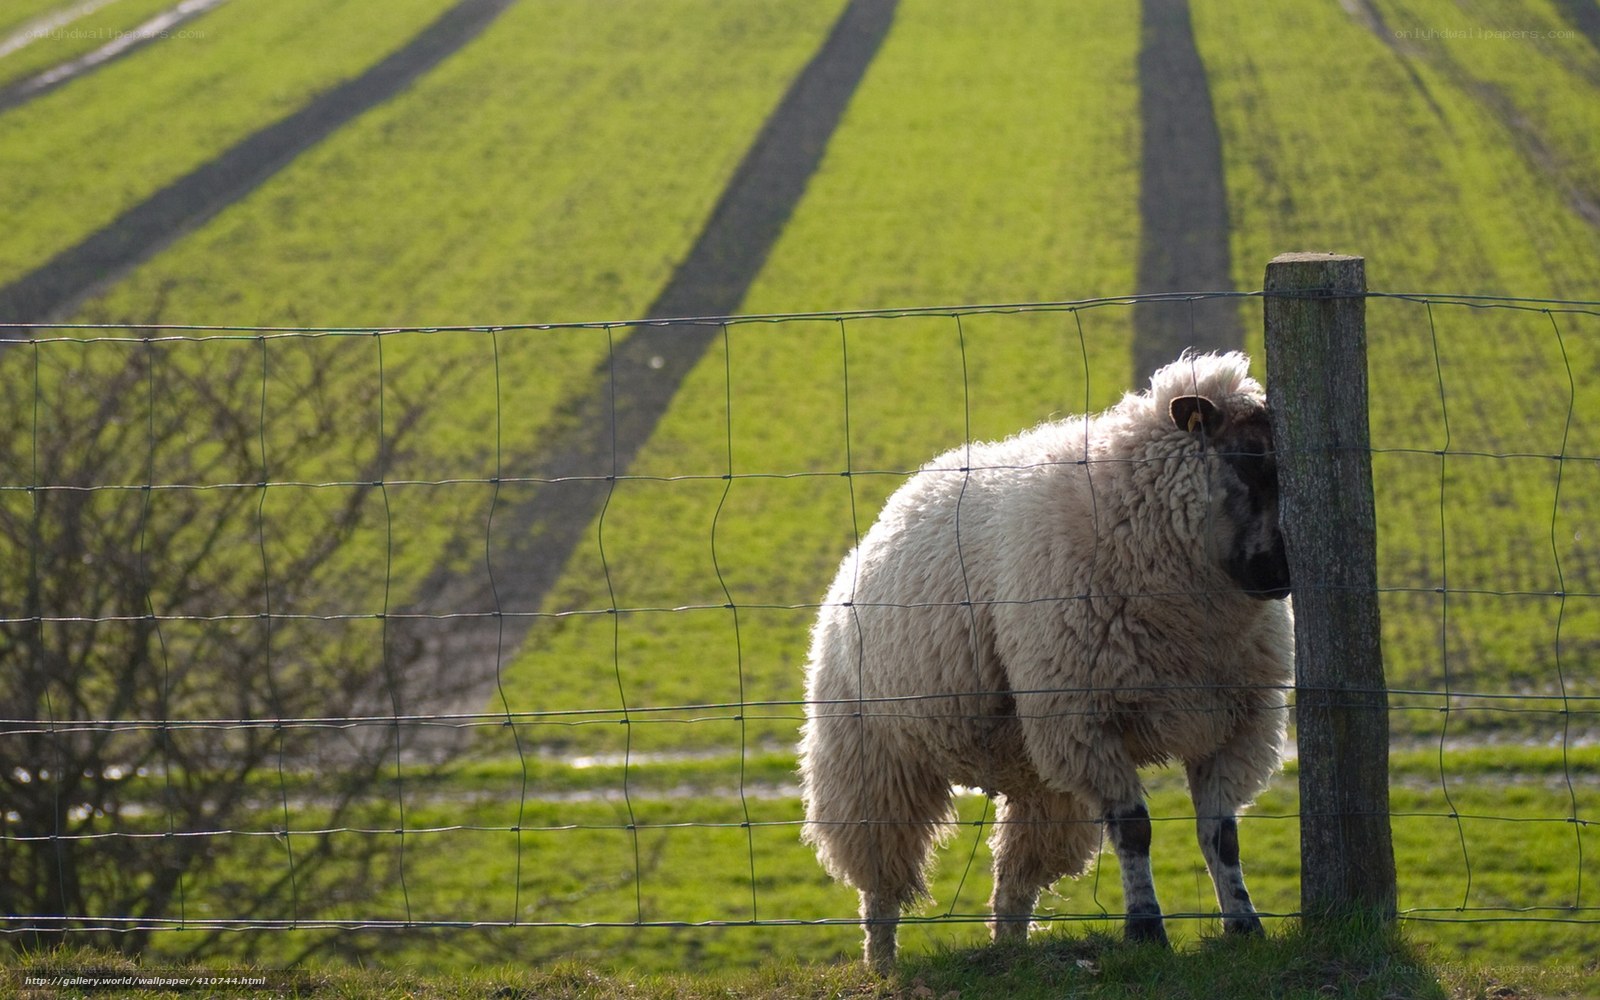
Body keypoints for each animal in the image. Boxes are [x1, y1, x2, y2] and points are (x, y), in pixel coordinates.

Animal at [798, 351, 1293, 972]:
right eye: (1247, 459)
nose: (1283, 574)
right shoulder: (1087, 720)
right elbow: (1134, 831)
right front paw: (1145, 931)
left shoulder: (1236, 723)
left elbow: (1220, 836)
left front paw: (1245, 925)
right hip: (871, 762)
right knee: (881, 881)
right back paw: (883, 963)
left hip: (1036, 775)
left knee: (1015, 879)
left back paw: (1010, 948)